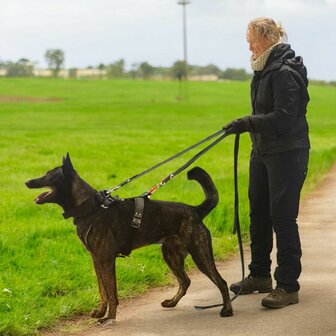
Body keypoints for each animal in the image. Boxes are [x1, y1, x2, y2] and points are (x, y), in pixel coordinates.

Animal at [25, 154, 234, 322]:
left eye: (48, 175)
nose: (27, 182)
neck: (90, 208)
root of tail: (196, 210)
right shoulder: (96, 260)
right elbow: (102, 290)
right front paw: (101, 312)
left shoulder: (107, 260)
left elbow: (111, 292)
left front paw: (109, 317)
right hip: (171, 255)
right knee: (185, 281)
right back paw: (172, 303)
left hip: (200, 253)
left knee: (221, 282)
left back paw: (227, 310)